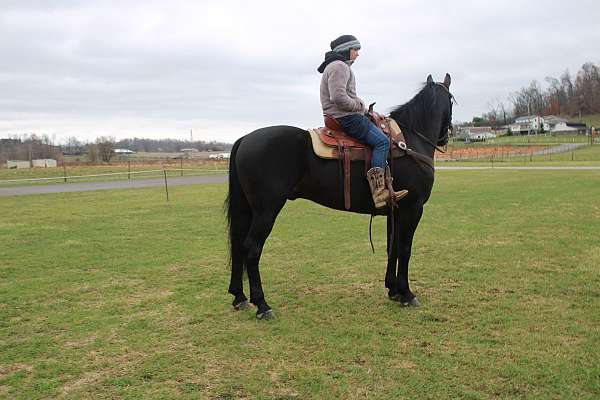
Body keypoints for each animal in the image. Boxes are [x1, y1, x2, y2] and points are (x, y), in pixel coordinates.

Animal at [226, 72, 454, 318]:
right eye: (452, 100)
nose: (445, 137)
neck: (410, 141)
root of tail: (245, 138)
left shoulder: (395, 210)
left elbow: (391, 248)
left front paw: (393, 290)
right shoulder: (412, 209)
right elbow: (405, 249)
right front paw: (407, 294)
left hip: (247, 209)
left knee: (238, 244)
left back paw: (240, 298)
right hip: (266, 211)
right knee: (252, 248)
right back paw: (262, 305)